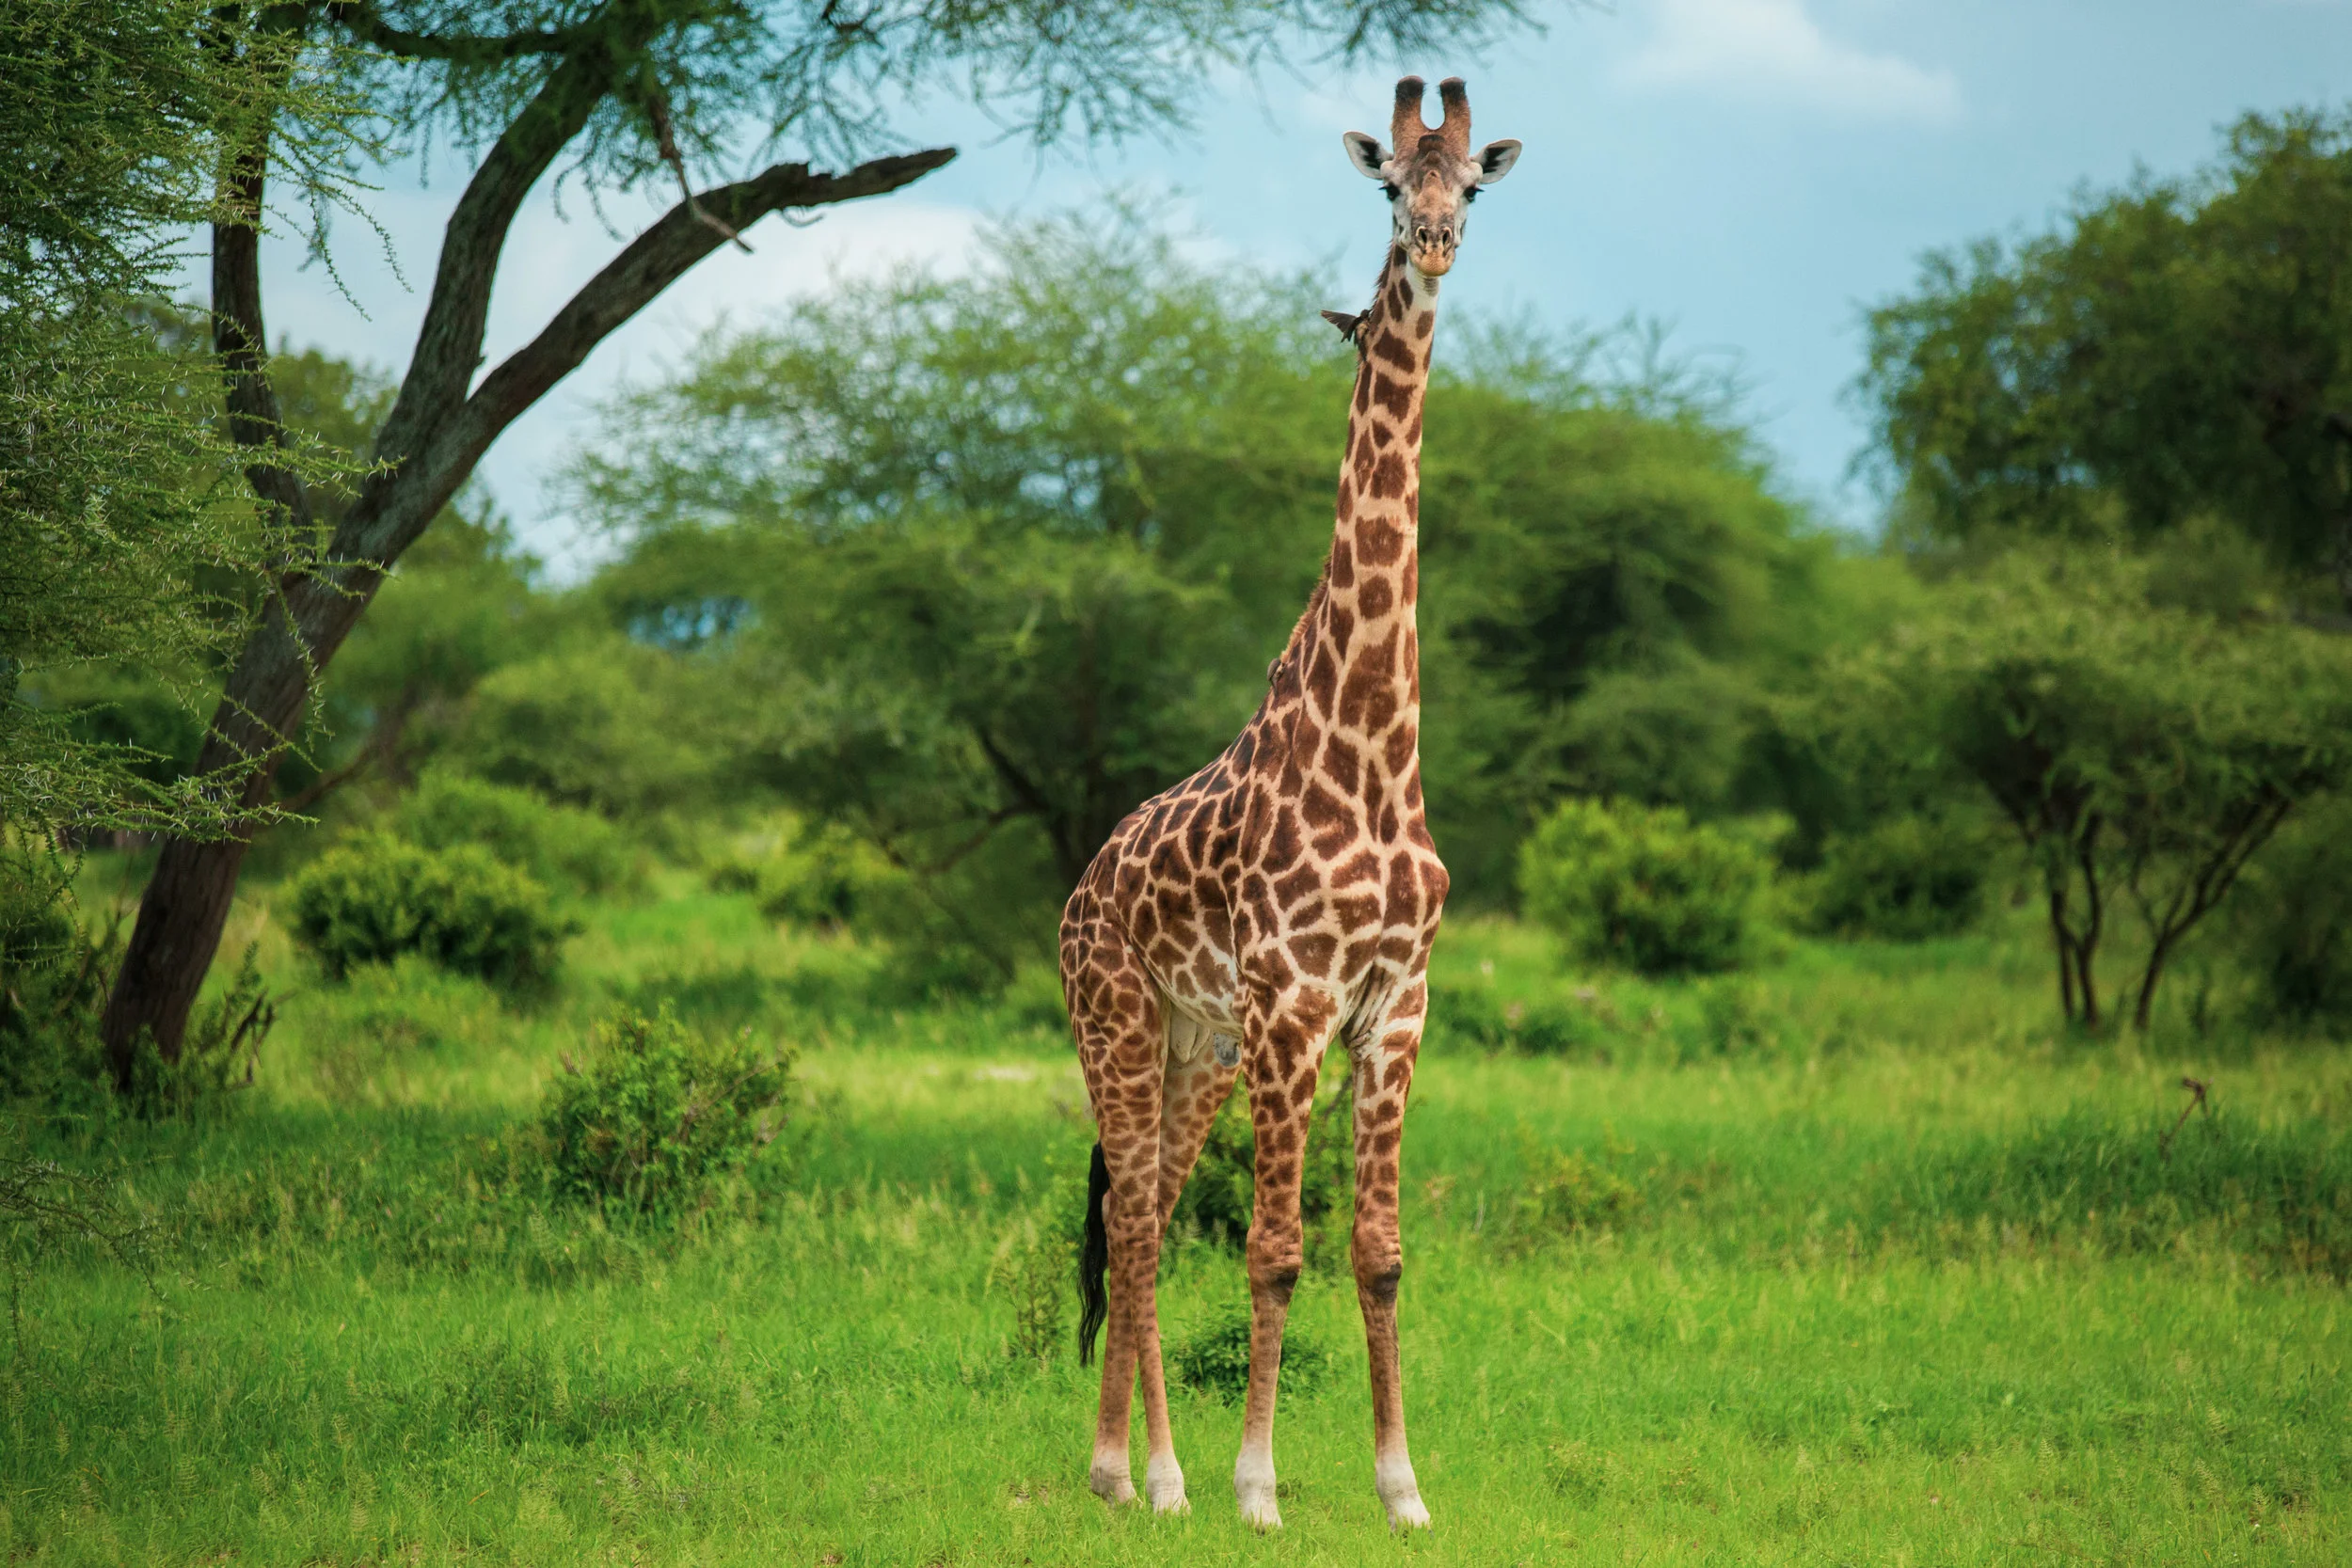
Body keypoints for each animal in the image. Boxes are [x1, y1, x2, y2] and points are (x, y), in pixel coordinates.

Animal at [1058, 75, 1520, 1531]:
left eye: (1470, 186)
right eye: (1386, 187)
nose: (1432, 247)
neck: (1372, 744)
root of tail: (1080, 884)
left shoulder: (1396, 1004)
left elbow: (1375, 1250)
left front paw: (1401, 1485)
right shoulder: (1294, 1000)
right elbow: (1270, 1249)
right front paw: (1259, 1484)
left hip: (1195, 1045)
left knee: (1145, 1209)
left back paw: (1133, 1468)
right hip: (1119, 1019)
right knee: (1135, 1220)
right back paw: (1148, 1474)